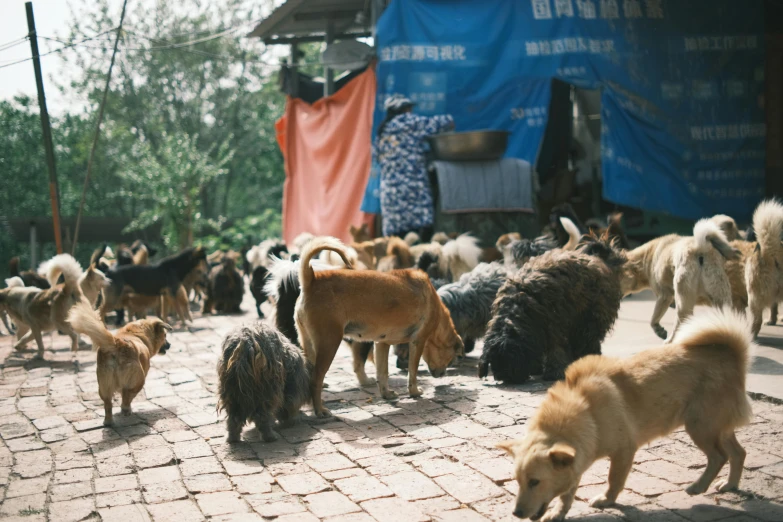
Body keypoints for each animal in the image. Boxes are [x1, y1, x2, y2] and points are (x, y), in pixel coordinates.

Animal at [296, 236, 466, 414]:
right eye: (452, 359)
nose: (443, 374)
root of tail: (311, 280)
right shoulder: (417, 342)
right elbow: (412, 372)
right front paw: (414, 392)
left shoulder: (382, 343)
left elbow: (383, 373)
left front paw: (387, 394)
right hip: (329, 344)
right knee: (316, 380)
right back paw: (320, 410)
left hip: (309, 344)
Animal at [478, 232, 624, 382]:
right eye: (494, 363)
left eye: (510, 360)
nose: (504, 378)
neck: (516, 308)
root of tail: (599, 259)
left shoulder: (554, 324)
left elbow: (555, 348)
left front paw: (553, 372)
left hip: (592, 316)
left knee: (588, 339)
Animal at [502, 306, 752, 516]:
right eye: (518, 481)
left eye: (534, 482)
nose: (516, 513)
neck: (586, 411)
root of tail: (731, 355)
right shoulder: (577, 460)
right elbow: (567, 493)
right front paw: (559, 513)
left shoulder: (624, 451)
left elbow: (614, 480)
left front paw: (606, 500)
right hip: (717, 428)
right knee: (738, 453)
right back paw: (730, 484)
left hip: (700, 427)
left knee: (719, 457)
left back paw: (698, 486)